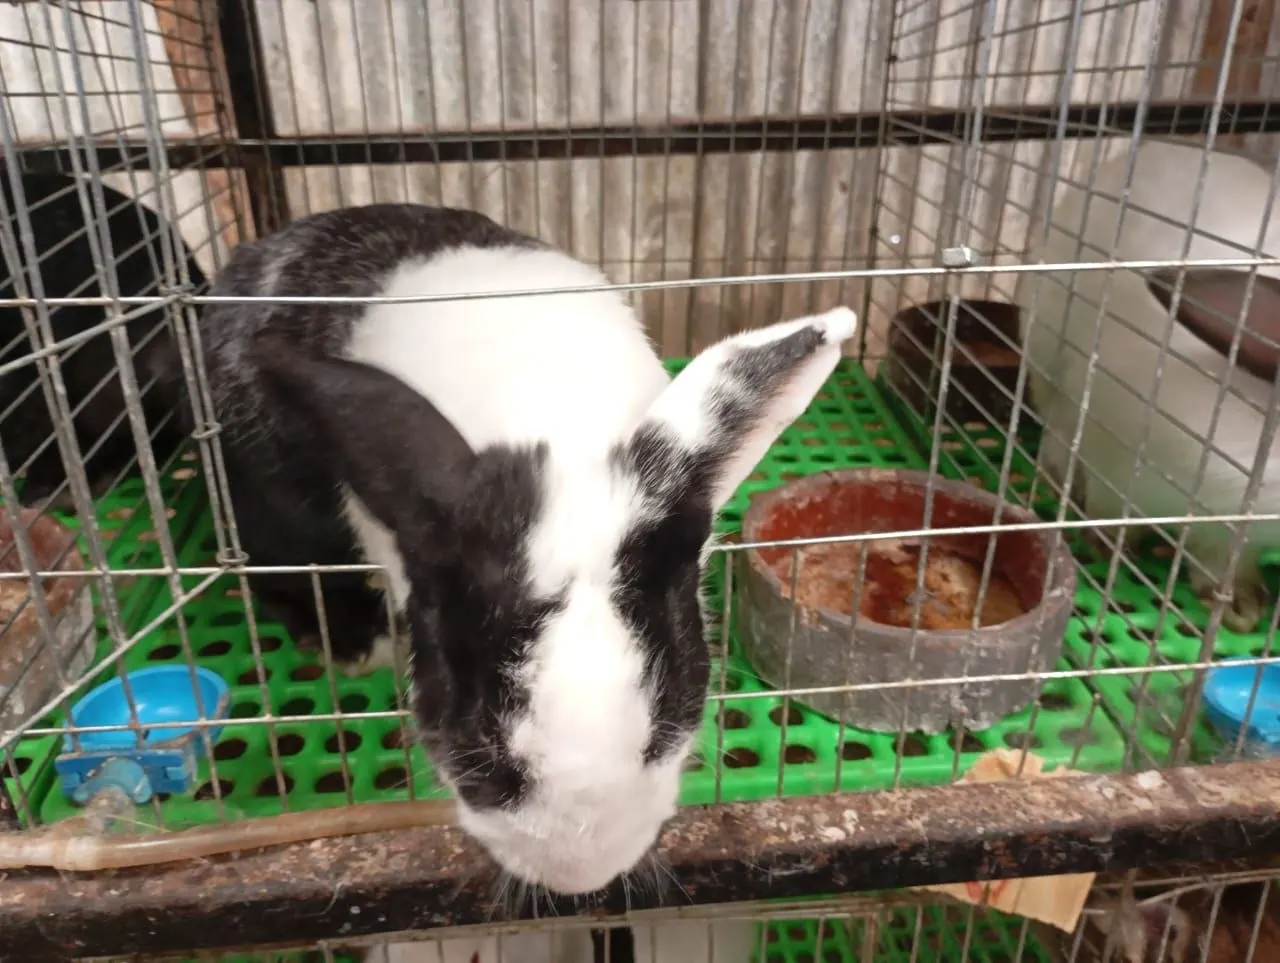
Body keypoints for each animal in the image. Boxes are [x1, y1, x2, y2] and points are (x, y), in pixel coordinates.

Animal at [1018, 139, 1280, 632]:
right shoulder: (1112, 451)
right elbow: (1110, 507)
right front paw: (1110, 547)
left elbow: (1221, 561)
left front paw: (1240, 607)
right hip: (1045, 354)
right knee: (1057, 434)